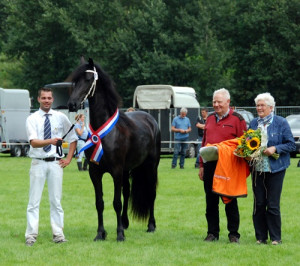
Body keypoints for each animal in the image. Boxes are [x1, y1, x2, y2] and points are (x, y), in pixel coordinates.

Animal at [67, 57, 161, 241]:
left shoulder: (116, 171)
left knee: (151, 193)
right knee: (127, 192)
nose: (72, 104)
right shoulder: (95, 172)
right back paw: (125, 223)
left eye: (88, 79)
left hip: (151, 167)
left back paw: (151, 226)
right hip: (127, 170)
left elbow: (116, 202)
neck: (105, 135)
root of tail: (150, 119)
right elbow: (100, 203)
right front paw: (100, 234)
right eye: (75, 81)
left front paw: (119, 235)